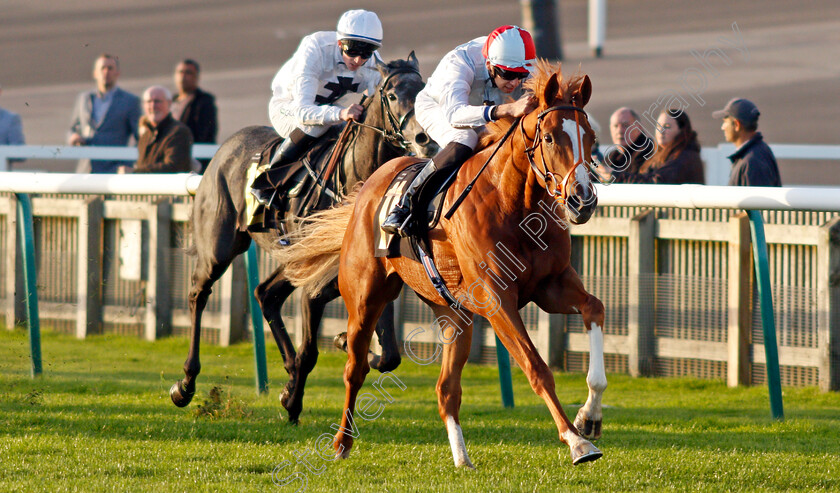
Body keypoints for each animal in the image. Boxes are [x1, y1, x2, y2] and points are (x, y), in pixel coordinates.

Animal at [278, 63, 608, 468]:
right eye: (548, 137)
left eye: (590, 137)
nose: (582, 200)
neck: (512, 204)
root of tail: (372, 182)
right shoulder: (498, 299)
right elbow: (536, 368)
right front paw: (577, 442)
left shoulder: (552, 285)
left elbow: (594, 308)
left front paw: (589, 417)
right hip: (365, 297)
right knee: (355, 369)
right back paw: (341, 441)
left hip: (453, 312)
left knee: (445, 389)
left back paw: (462, 457)